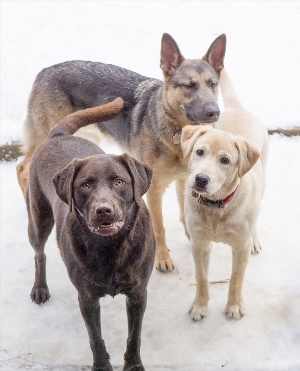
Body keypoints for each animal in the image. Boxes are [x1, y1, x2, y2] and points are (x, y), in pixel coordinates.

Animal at [16, 33, 226, 274]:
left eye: (212, 84)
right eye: (189, 86)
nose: (214, 112)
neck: (178, 131)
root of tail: (46, 70)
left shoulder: (184, 180)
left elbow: (185, 214)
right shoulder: (154, 189)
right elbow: (159, 226)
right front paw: (162, 257)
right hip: (43, 137)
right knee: (22, 168)